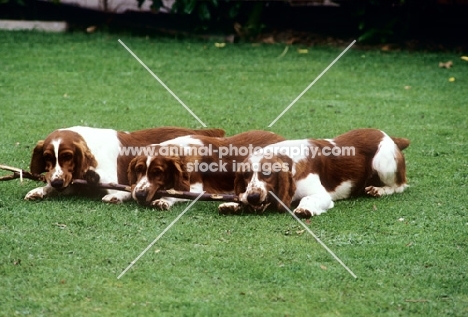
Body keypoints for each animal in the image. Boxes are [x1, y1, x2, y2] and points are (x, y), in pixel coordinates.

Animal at [127, 130, 286, 209]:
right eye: (138, 169)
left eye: (158, 172)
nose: (140, 195)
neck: (181, 152)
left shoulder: (196, 188)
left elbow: (175, 192)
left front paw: (163, 201)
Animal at [218, 128, 408, 217]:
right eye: (245, 175)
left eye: (267, 173)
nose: (253, 197)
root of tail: (389, 136)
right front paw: (231, 204)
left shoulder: (322, 195)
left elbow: (308, 199)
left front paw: (304, 209)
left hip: (382, 161)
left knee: (400, 186)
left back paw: (378, 190)